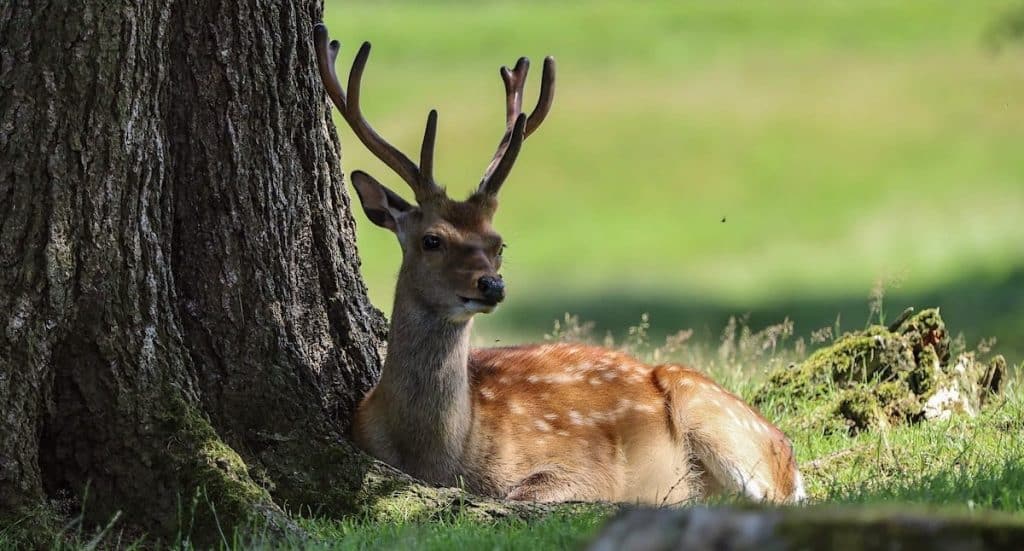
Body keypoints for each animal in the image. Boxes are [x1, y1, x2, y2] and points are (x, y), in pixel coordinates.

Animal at [311, 25, 806, 503]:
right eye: (432, 240)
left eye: (498, 243)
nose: (491, 285)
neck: (438, 456)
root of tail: (786, 449)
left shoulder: (584, 467)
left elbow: (521, 497)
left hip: (719, 418)